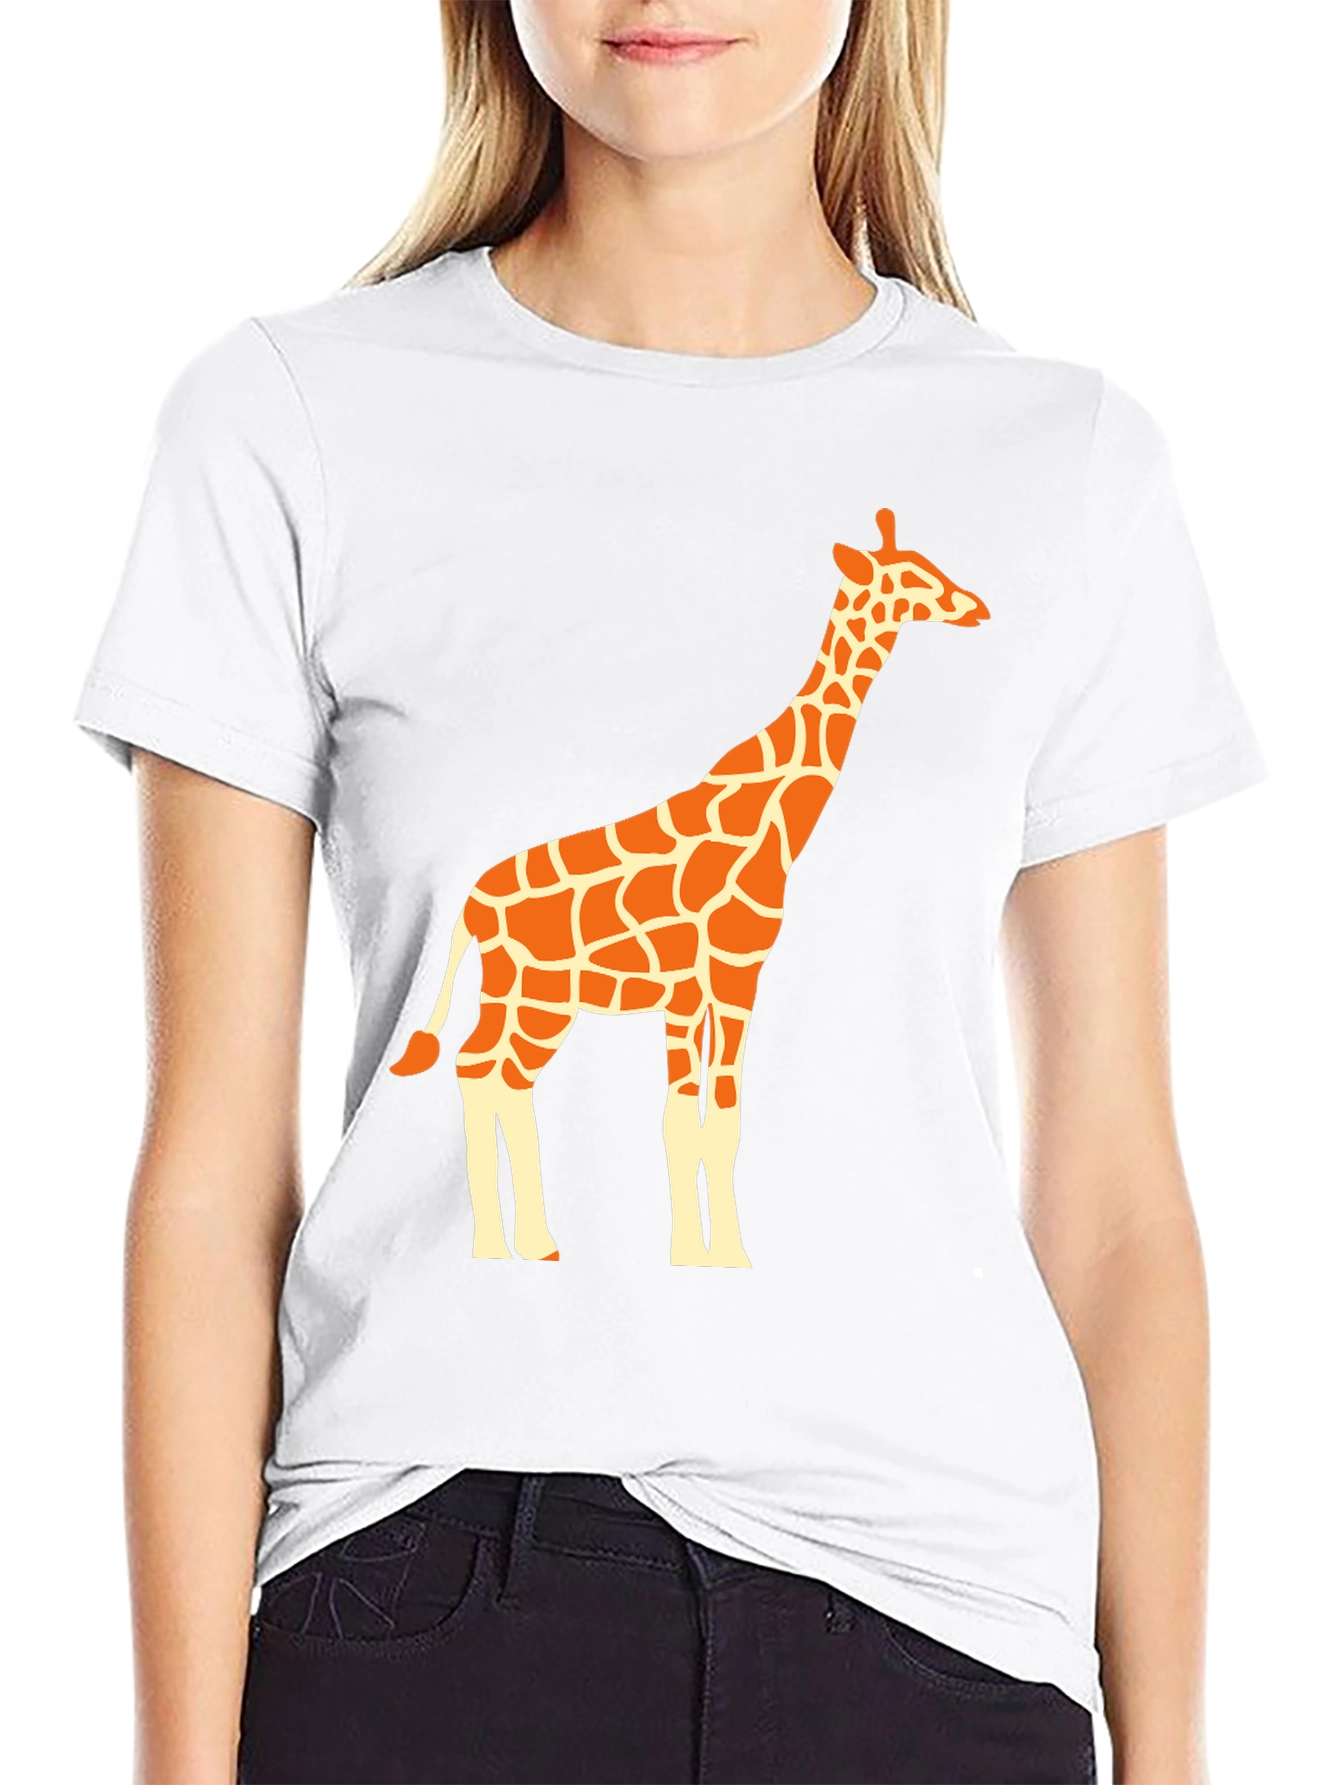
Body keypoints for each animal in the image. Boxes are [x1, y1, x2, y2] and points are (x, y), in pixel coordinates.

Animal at [389, 508, 989, 1267]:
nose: (977, 606)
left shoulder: (687, 993)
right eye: (913, 578)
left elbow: (684, 1116)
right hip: (544, 992)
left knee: (484, 1070)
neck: (772, 823)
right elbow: (717, 1115)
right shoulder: (735, 971)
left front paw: (692, 1254)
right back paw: (515, 1244)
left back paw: (521, 1244)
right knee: (493, 1072)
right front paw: (725, 1255)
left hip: (521, 990)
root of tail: (471, 906)